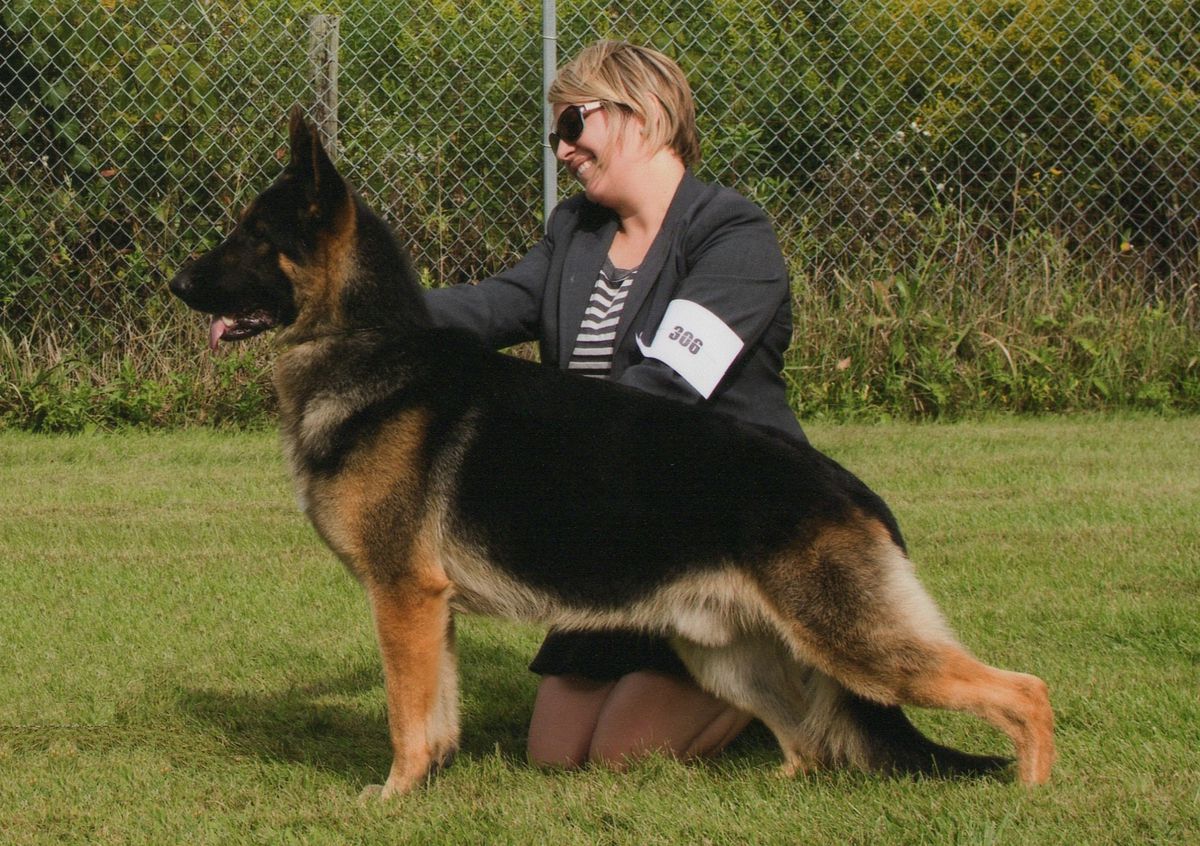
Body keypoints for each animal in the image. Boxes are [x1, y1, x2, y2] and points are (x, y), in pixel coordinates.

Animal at [171, 109, 1060, 796]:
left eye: (254, 236)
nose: (177, 284)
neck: (364, 346)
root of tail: (853, 491)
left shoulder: (403, 599)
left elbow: (406, 718)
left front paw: (391, 796)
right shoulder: (429, 611)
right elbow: (437, 717)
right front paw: (426, 786)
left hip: (857, 645)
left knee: (1024, 691)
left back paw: (1034, 791)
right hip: (730, 660)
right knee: (809, 742)